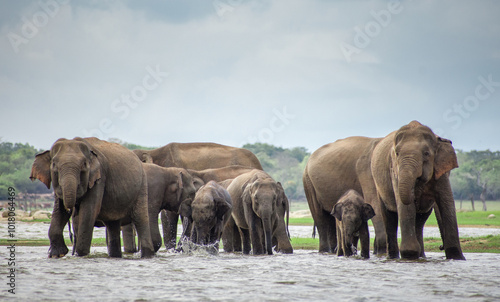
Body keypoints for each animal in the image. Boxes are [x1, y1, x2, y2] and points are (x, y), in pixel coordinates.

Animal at [302, 120, 466, 260]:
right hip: (308, 182)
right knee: (321, 219)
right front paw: (380, 252)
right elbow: (374, 203)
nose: (440, 247)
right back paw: (327, 251)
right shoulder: (368, 172)